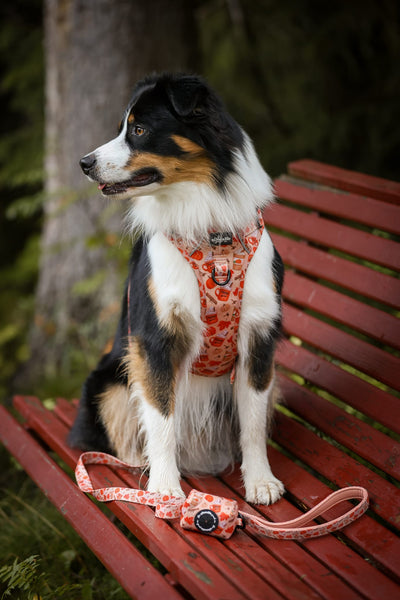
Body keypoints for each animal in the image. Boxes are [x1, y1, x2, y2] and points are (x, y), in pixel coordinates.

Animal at [70, 74, 286, 506]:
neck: (212, 237)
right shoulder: (155, 339)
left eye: (138, 130)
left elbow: (253, 423)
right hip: (109, 384)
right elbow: (161, 419)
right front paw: (164, 489)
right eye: (121, 128)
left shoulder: (259, 337)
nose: (84, 163)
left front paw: (260, 480)